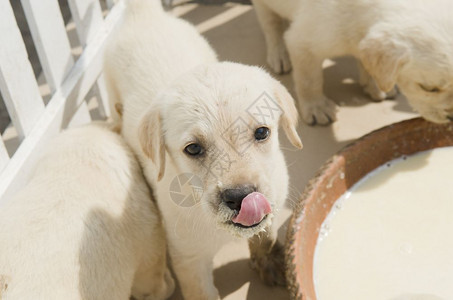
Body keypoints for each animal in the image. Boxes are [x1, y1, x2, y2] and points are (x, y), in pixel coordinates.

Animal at [102, 1, 300, 298]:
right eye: (193, 148)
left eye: (262, 133)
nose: (240, 197)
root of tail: (144, 14)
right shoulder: (189, 258)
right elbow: (201, 290)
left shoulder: (273, 200)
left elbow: (265, 234)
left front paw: (268, 260)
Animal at [251, 0, 452, 125]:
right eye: (428, 88)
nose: (451, 118)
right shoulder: (303, 42)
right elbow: (309, 80)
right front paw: (317, 108)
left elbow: (367, 59)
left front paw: (375, 85)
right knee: (270, 22)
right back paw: (279, 54)